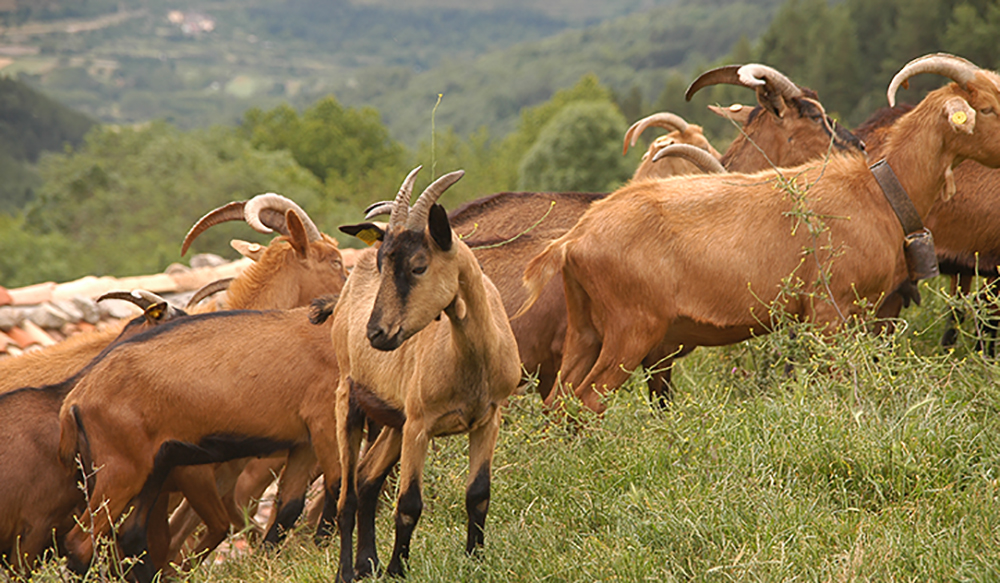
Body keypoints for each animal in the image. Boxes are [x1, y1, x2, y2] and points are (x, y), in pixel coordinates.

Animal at [327, 167, 520, 581]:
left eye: (418, 266)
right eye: (383, 265)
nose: (376, 333)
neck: (471, 360)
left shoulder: (488, 418)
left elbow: (479, 494)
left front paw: (475, 559)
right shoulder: (420, 424)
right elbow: (409, 504)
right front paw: (399, 569)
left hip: (394, 421)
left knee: (366, 477)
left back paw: (368, 563)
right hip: (349, 398)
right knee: (347, 493)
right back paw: (348, 571)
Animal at [519, 53, 1000, 414]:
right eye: (989, 108)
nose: (856, 144)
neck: (875, 189)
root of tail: (574, 239)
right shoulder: (830, 310)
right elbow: (834, 379)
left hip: (586, 331)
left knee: (559, 403)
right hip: (631, 329)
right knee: (585, 402)